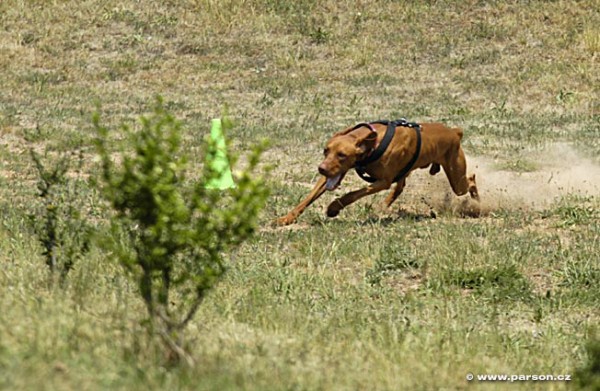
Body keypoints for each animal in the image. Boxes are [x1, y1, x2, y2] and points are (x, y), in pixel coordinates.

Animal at [276, 122, 478, 227]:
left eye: (342, 155)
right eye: (326, 150)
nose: (321, 168)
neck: (372, 143)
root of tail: (455, 132)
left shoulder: (383, 181)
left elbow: (352, 194)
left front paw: (334, 207)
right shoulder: (329, 177)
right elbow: (307, 198)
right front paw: (287, 218)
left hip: (457, 180)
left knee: (470, 180)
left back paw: (476, 198)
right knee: (400, 188)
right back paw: (385, 205)